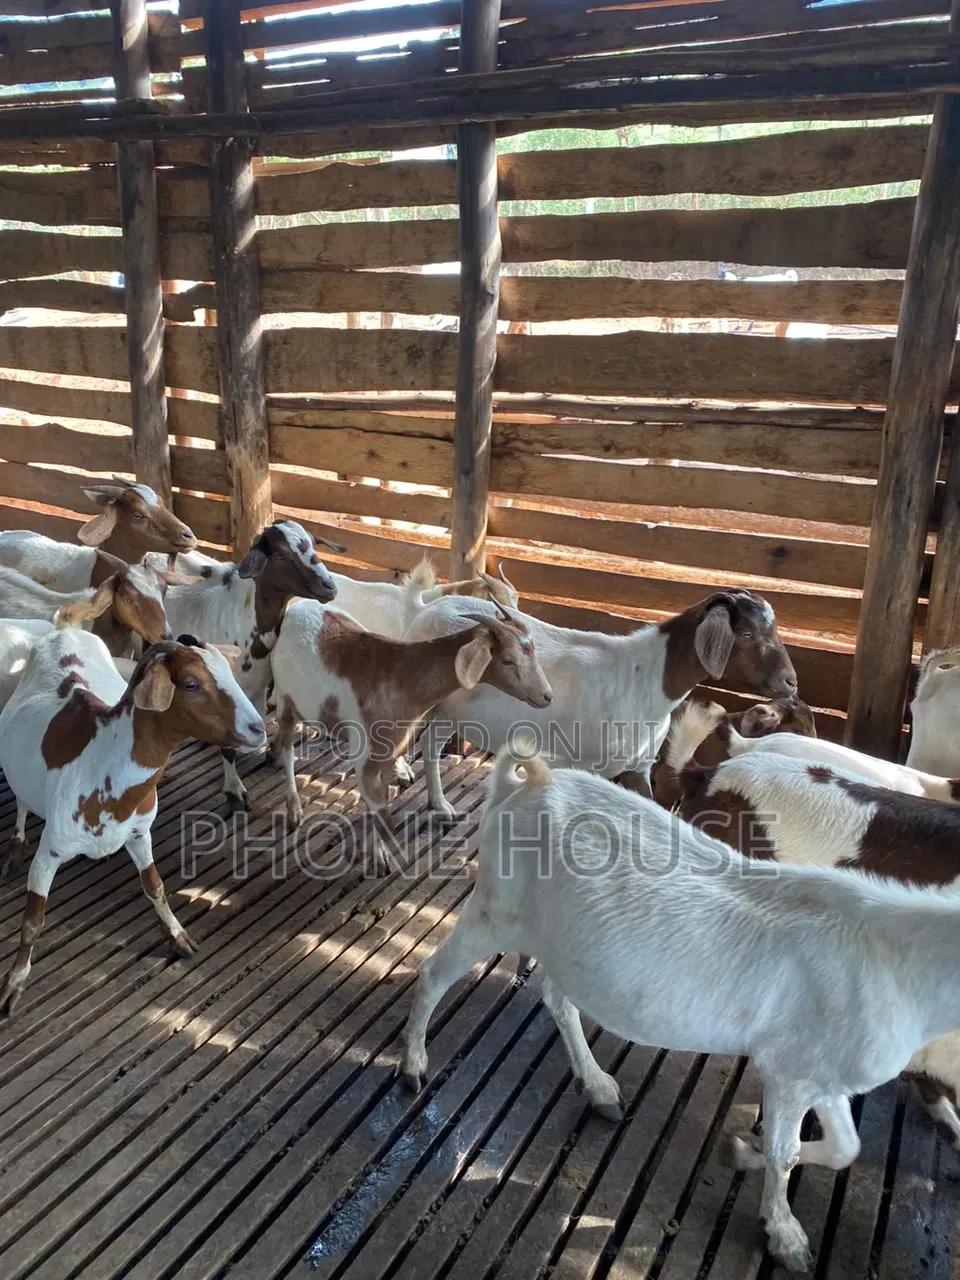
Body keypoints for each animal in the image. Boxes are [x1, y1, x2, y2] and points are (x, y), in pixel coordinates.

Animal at [0, 628, 265, 1014]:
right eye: (191, 684)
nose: (258, 729)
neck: (101, 763)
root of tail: (67, 629)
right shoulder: (50, 852)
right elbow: (33, 921)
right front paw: (14, 983)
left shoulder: (140, 834)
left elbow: (155, 887)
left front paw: (178, 936)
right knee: (21, 799)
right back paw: (16, 846)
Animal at [269, 597, 553, 868]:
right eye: (508, 660)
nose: (547, 696)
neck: (400, 676)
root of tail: (297, 608)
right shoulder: (366, 758)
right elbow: (380, 812)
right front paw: (379, 858)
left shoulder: (387, 753)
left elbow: (377, 802)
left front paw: (372, 851)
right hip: (284, 698)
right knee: (287, 748)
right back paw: (294, 809)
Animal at [400, 742, 960, 1273]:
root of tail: (530, 782)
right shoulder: (791, 1068)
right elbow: (787, 1153)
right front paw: (786, 1235)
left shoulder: (823, 1068)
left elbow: (845, 1148)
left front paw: (745, 1152)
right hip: (495, 909)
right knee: (433, 973)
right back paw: (413, 1067)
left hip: (563, 942)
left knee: (558, 998)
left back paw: (598, 1087)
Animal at [401, 588, 798, 819]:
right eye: (745, 632)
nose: (791, 682)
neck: (644, 679)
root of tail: (426, 611)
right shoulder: (581, 763)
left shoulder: (638, 766)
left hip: (453, 713)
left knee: (431, 743)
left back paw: (440, 804)